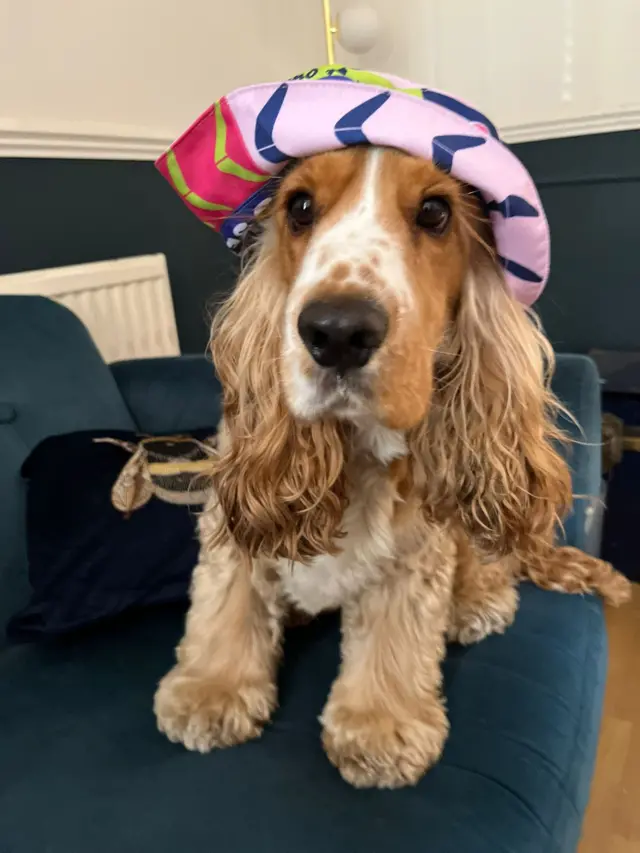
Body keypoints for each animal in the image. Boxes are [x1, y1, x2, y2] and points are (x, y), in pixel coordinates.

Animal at [154, 143, 632, 788]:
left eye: (435, 212)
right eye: (299, 207)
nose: (336, 331)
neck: (356, 446)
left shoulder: (412, 553)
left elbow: (394, 637)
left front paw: (380, 728)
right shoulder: (235, 517)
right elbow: (226, 599)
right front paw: (211, 692)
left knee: (488, 561)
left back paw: (475, 603)